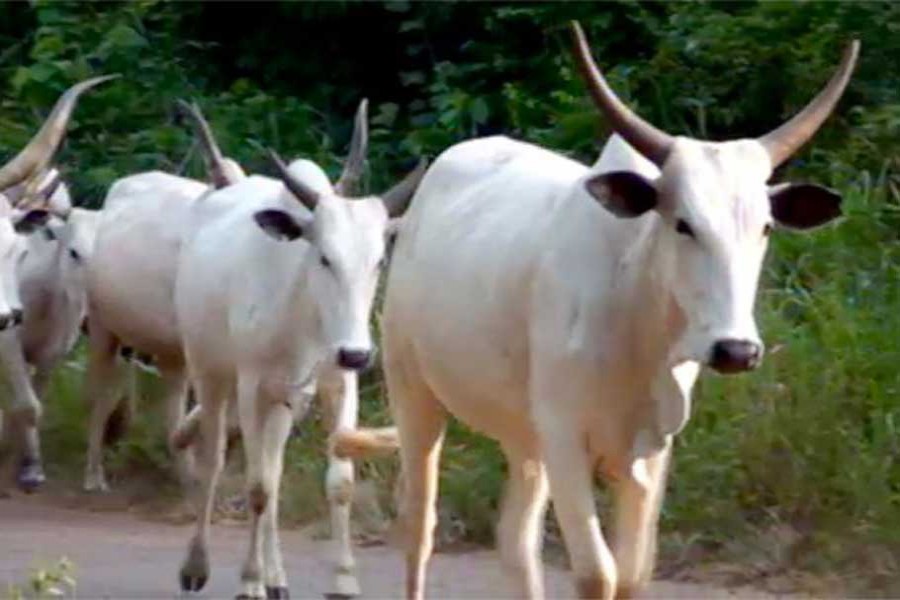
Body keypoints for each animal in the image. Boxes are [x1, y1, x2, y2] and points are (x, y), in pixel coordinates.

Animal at [0, 76, 115, 491]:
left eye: (16, 250)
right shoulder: (8, 345)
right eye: (75, 253)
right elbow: (24, 404)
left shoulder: (52, 351)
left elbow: (34, 403)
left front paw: (25, 462)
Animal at [172, 113, 426, 598]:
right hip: (210, 371)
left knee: (273, 467)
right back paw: (198, 565)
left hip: (284, 401)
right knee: (214, 461)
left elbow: (337, 483)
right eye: (324, 257)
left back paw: (278, 578)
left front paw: (343, 579)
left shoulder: (335, 383)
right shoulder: (251, 385)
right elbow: (255, 487)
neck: (304, 308)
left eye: (379, 261)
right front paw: (248, 581)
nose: (357, 353)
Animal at [371, 22, 858, 600]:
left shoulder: (649, 451)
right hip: (412, 390)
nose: (737, 350)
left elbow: (629, 575)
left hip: (523, 433)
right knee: (418, 526)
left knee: (516, 542)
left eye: (764, 226)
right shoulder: (565, 437)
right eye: (683, 223)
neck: (634, 326)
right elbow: (595, 572)